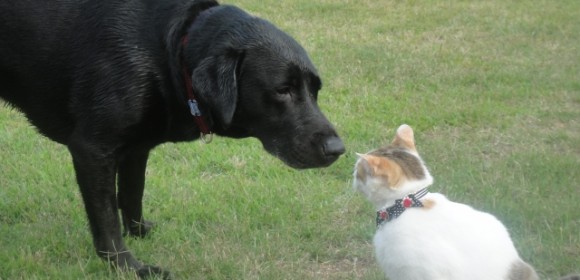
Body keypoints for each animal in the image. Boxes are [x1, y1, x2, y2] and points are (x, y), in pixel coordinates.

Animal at [0, 0, 344, 276]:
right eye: (283, 90)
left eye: (315, 90)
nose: (337, 149)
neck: (171, 51)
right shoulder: (92, 149)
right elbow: (107, 220)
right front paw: (128, 266)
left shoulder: (136, 148)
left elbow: (132, 194)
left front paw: (140, 232)